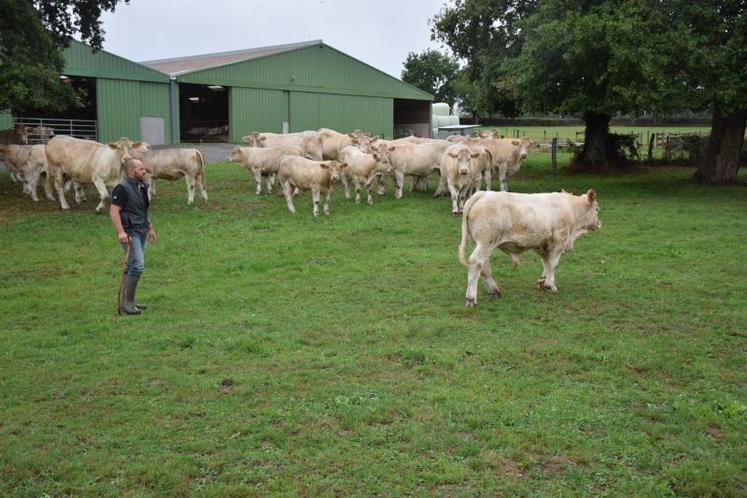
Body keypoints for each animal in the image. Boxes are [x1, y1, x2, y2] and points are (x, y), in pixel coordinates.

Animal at [456, 189, 600, 308]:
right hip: (486, 242)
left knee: (484, 266)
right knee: (476, 262)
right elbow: (553, 264)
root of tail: (483, 193)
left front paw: (542, 282)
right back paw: (471, 299)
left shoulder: (543, 244)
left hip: (478, 243)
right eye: (597, 209)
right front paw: (550, 285)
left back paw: (494, 291)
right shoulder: (558, 243)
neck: (571, 209)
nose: (599, 223)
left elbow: (546, 264)